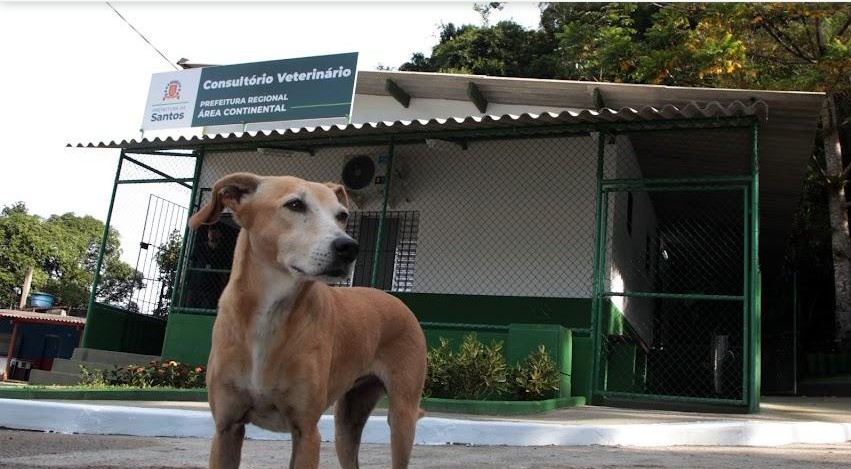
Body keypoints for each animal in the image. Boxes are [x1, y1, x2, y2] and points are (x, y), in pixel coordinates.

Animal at [188, 173, 424, 468]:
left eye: (342, 215)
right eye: (295, 205)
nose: (349, 247)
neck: (272, 315)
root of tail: (396, 301)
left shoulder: (307, 433)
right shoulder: (226, 429)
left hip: (402, 418)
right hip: (346, 424)